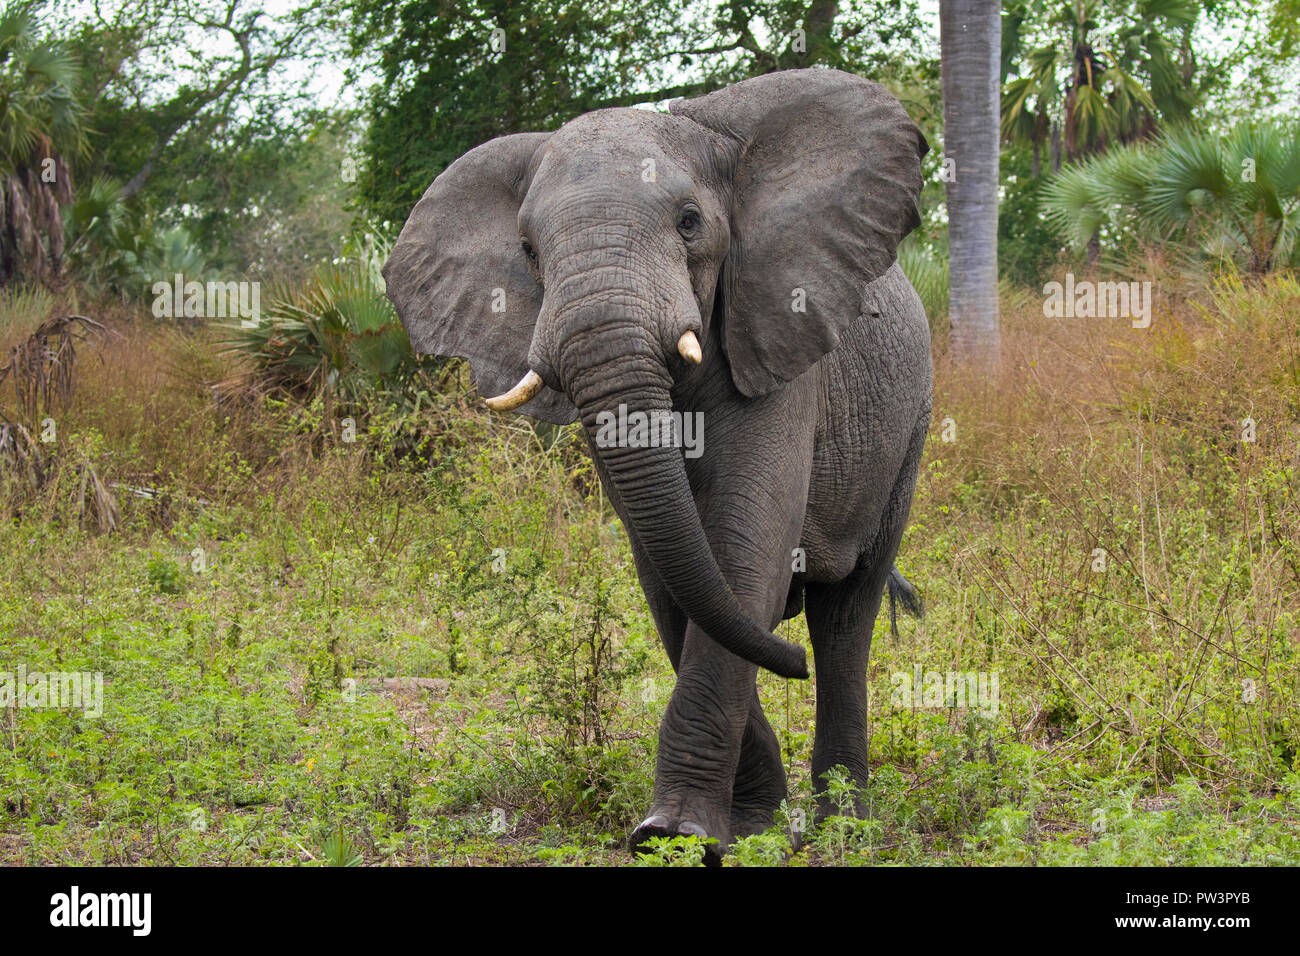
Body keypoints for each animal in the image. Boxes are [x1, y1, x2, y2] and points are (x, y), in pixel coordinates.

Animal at [384, 68, 932, 863]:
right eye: (528, 250)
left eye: (689, 222)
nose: (785, 659)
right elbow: (672, 576)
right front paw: (740, 826)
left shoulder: (776, 330)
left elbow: (744, 550)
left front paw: (679, 833)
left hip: (908, 433)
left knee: (845, 618)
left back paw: (847, 826)